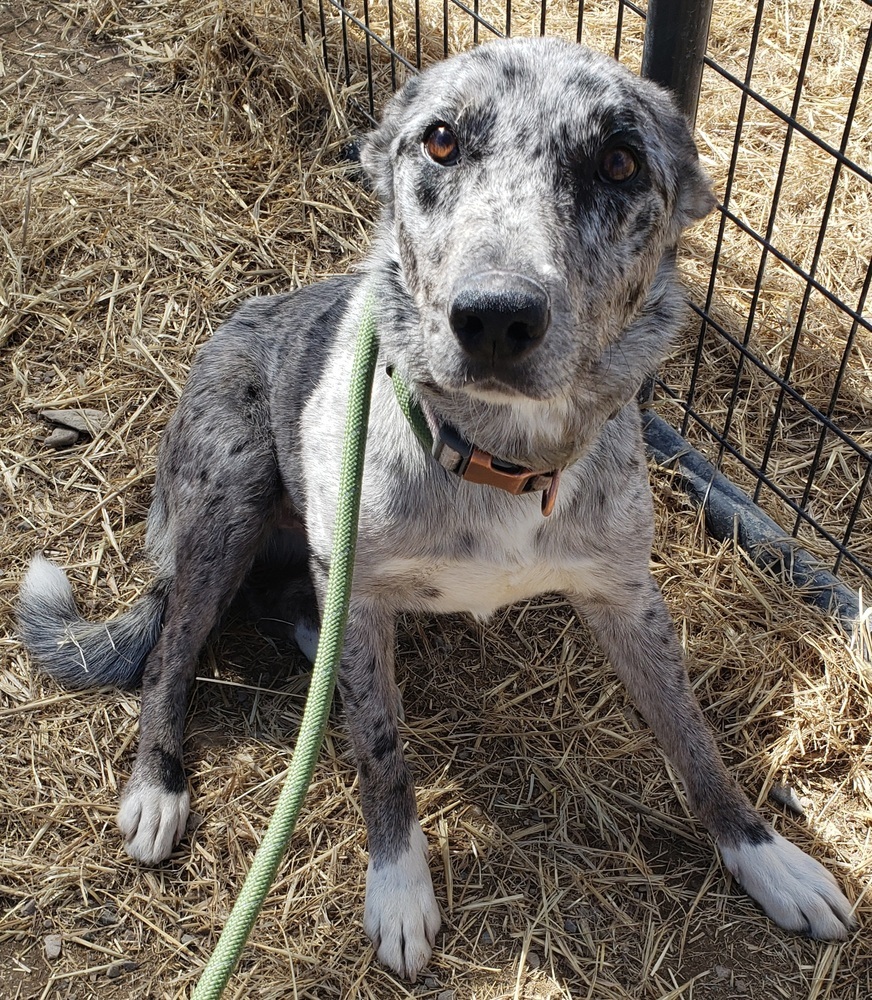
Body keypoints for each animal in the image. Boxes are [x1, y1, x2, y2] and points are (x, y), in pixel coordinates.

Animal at [17, 37, 856, 976]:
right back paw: (159, 785)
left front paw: (766, 857)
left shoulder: (627, 596)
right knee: (173, 646)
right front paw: (398, 888)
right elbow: (381, 751)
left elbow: (694, 737)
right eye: (442, 141)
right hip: (229, 495)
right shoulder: (361, 588)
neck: (498, 458)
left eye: (620, 161)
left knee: (290, 613)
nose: (494, 316)